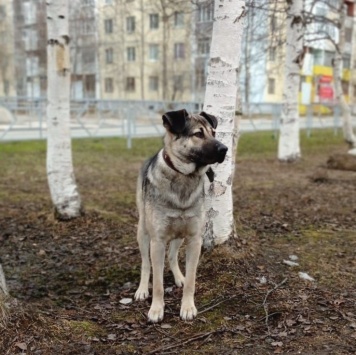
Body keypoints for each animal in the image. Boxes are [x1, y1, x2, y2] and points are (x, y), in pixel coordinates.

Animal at [135, 110, 227, 324]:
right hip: (143, 232)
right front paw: (156, 309)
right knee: (145, 263)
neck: (184, 176)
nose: (225, 149)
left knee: (172, 256)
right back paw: (142, 289)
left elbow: (192, 279)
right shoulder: (158, 241)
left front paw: (187, 307)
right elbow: (158, 283)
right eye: (198, 134)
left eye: (213, 132)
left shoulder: (194, 240)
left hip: (178, 236)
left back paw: (179, 277)